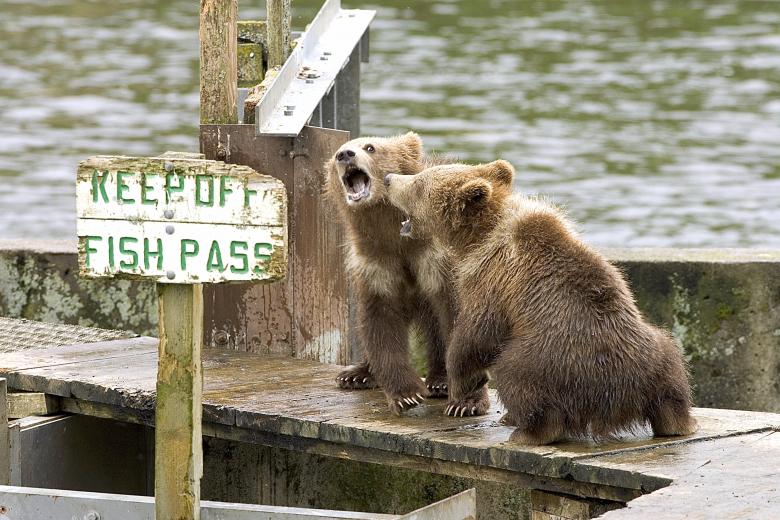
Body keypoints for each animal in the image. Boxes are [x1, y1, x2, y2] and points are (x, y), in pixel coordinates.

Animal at [325, 132, 456, 414]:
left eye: (370, 147)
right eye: (338, 151)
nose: (345, 155)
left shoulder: (434, 259)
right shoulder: (375, 264)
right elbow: (380, 322)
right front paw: (405, 394)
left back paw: (440, 380)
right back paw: (356, 374)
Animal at [383, 160, 697, 444]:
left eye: (420, 184)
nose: (388, 178)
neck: (478, 236)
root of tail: (617, 395)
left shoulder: (492, 279)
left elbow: (475, 334)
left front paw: (461, 392)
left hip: (550, 359)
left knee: (518, 381)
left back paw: (526, 432)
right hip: (655, 354)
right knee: (673, 382)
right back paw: (680, 423)